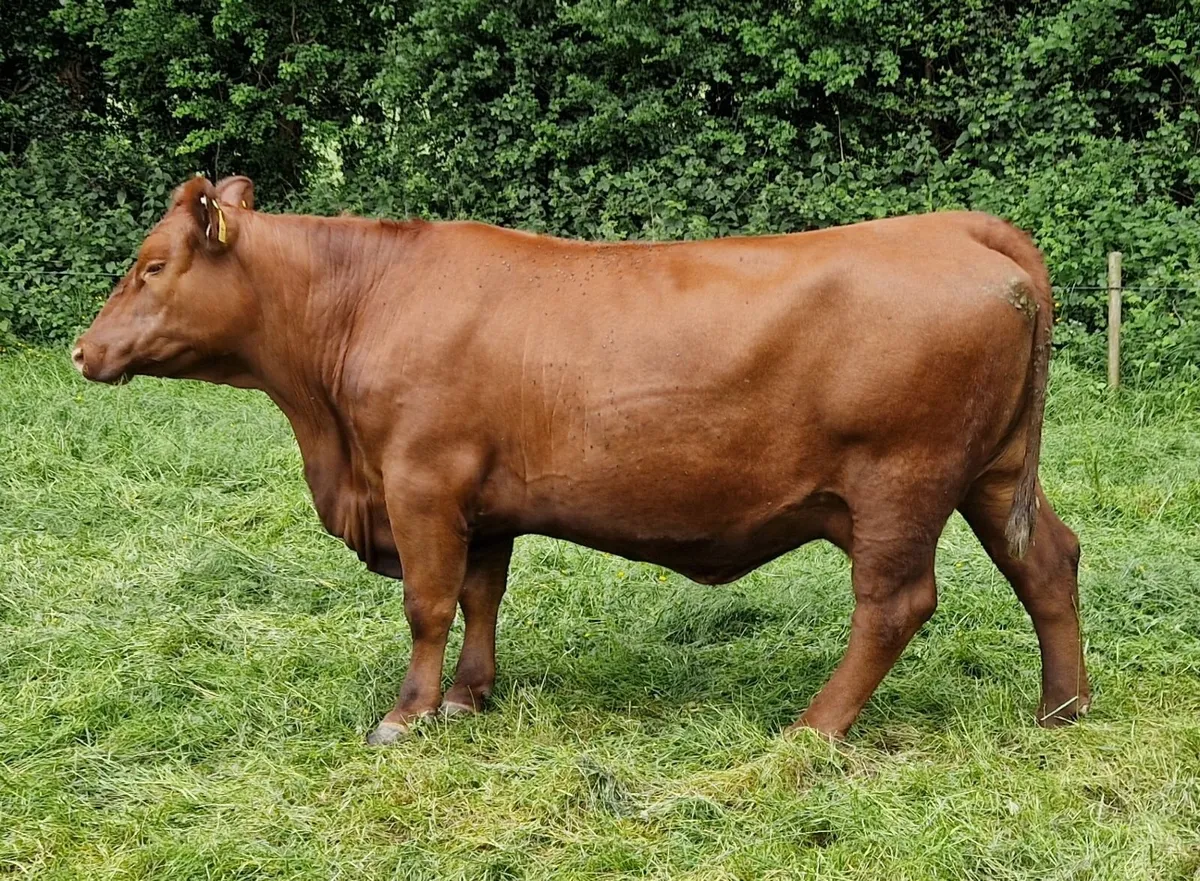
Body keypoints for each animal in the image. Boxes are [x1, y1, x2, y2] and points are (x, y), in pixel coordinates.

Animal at [73, 175, 1090, 745]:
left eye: (151, 265)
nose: (83, 350)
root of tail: (952, 226)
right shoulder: (482, 501)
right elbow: (482, 595)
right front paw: (469, 697)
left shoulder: (420, 481)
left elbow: (428, 602)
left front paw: (406, 713)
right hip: (994, 474)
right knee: (1047, 561)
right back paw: (1062, 708)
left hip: (899, 483)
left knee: (894, 604)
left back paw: (813, 729)